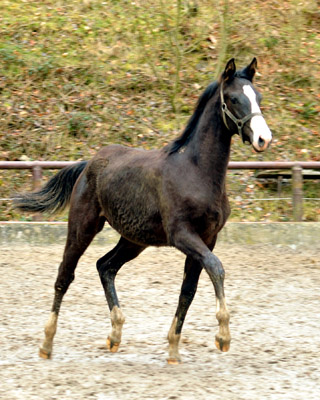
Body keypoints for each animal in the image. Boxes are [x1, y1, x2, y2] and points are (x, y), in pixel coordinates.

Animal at [13, 57, 272, 364]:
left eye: (258, 97)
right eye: (233, 99)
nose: (263, 138)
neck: (197, 172)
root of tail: (89, 163)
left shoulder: (208, 238)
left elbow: (189, 290)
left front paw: (173, 348)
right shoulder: (182, 236)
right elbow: (216, 268)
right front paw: (223, 336)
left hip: (134, 239)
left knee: (105, 266)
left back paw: (114, 335)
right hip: (82, 227)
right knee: (65, 275)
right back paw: (47, 343)